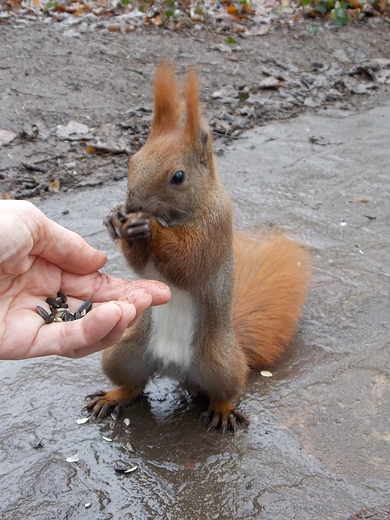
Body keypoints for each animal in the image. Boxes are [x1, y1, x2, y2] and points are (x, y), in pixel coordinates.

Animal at [85, 62, 310, 434]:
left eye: (178, 176)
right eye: (131, 161)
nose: (132, 205)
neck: (180, 215)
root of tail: (173, 368)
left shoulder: (217, 226)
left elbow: (191, 259)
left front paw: (150, 228)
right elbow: (141, 267)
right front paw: (115, 219)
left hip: (219, 363)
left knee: (227, 389)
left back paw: (222, 410)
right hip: (124, 353)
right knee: (132, 384)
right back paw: (113, 397)